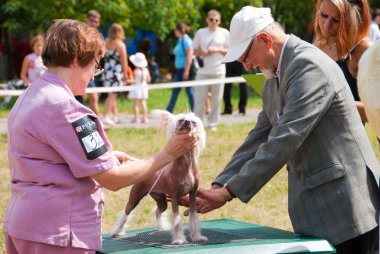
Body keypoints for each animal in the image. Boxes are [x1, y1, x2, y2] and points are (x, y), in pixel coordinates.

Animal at [110, 109, 208, 244]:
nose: (187, 123)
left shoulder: (192, 194)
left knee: (157, 211)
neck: (186, 167)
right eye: (181, 120)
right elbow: (177, 219)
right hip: (135, 197)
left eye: (193, 122)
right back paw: (117, 231)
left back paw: (162, 227)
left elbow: (193, 217)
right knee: (125, 214)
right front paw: (179, 239)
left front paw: (197, 237)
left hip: (161, 199)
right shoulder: (174, 196)